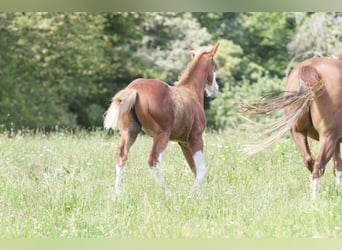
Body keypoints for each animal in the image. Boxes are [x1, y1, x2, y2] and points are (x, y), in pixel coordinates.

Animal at [103, 43, 219, 195]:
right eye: (215, 66)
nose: (215, 90)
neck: (191, 91)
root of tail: (135, 88)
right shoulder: (196, 137)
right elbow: (201, 169)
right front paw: (192, 194)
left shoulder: (183, 142)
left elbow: (194, 168)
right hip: (162, 134)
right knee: (153, 160)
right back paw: (168, 193)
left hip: (129, 132)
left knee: (121, 155)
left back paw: (117, 194)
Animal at [242, 56, 342, 197]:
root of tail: (309, 67)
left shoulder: (337, 141)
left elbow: (337, 165)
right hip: (327, 136)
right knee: (318, 164)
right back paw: (315, 198)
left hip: (298, 132)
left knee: (309, 160)